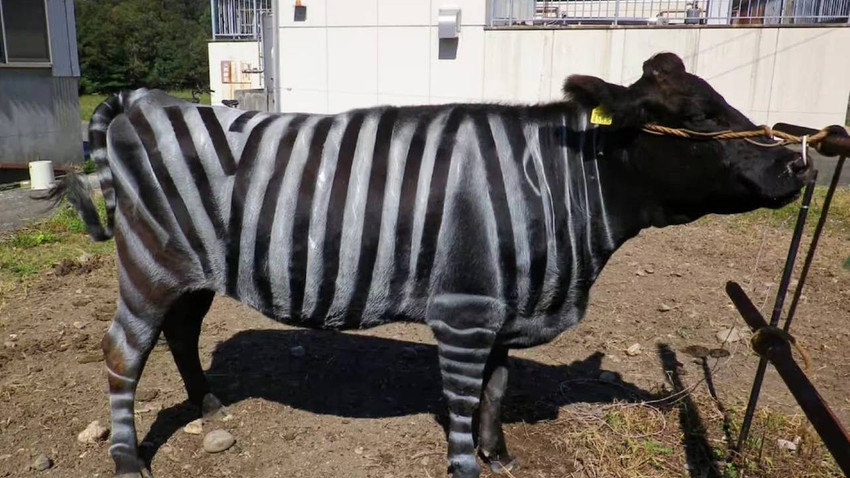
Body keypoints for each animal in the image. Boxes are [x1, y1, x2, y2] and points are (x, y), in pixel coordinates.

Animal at [50, 53, 810, 478]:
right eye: (699, 117)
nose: (799, 164)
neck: (556, 188)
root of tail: (146, 101)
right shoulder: (465, 313)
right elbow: (466, 399)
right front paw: (468, 465)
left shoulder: (505, 307)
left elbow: (497, 390)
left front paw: (500, 455)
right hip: (149, 264)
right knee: (123, 353)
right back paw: (128, 462)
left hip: (194, 271)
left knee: (179, 333)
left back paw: (209, 406)